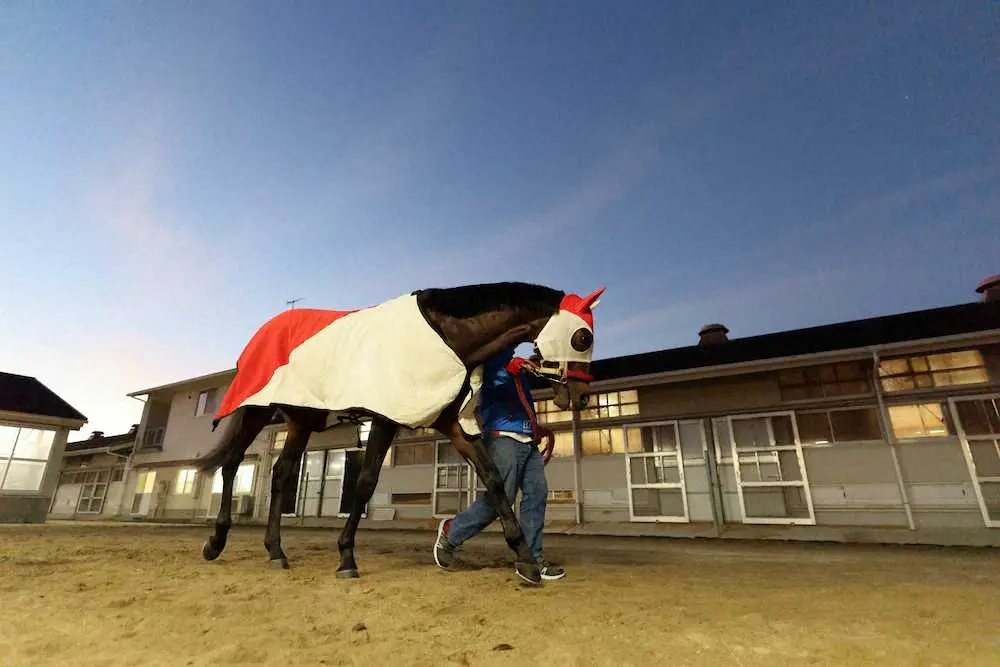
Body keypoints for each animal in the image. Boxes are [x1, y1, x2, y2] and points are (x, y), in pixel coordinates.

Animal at [193, 282, 600, 584]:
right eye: (582, 338)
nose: (581, 396)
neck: (445, 335)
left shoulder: (453, 425)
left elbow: (494, 479)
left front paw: (526, 559)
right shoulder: (384, 418)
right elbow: (365, 483)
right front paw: (346, 558)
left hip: (302, 419)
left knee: (281, 474)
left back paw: (276, 551)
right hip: (256, 409)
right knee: (232, 463)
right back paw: (215, 542)